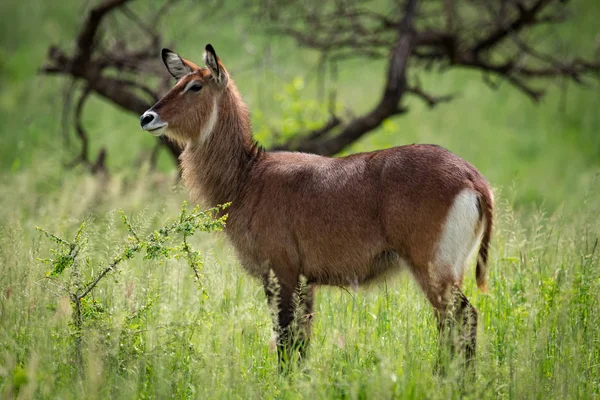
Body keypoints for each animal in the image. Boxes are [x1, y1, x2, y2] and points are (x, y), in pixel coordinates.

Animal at [139, 43, 492, 368]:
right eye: (178, 82)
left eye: (195, 86)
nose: (147, 117)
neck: (247, 176)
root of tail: (473, 177)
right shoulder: (305, 282)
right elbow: (301, 342)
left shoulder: (281, 273)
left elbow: (284, 338)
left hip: (433, 268)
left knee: (461, 318)